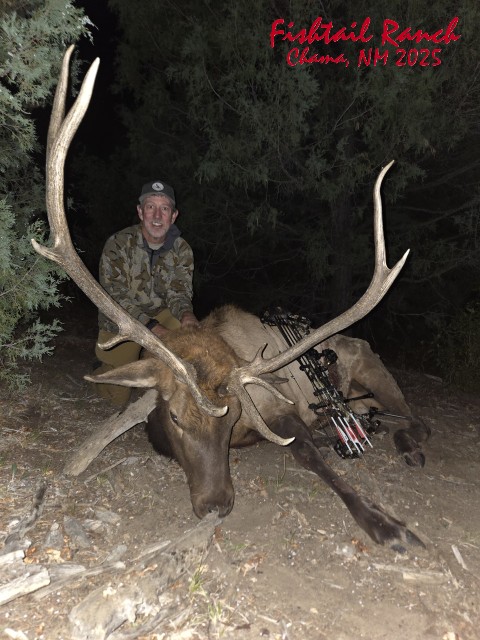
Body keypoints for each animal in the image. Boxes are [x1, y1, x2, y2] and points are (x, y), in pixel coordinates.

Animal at [33, 47, 429, 552]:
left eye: (234, 416)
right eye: (175, 417)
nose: (216, 505)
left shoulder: (281, 410)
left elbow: (313, 460)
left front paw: (390, 526)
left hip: (373, 365)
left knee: (415, 417)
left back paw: (410, 447)